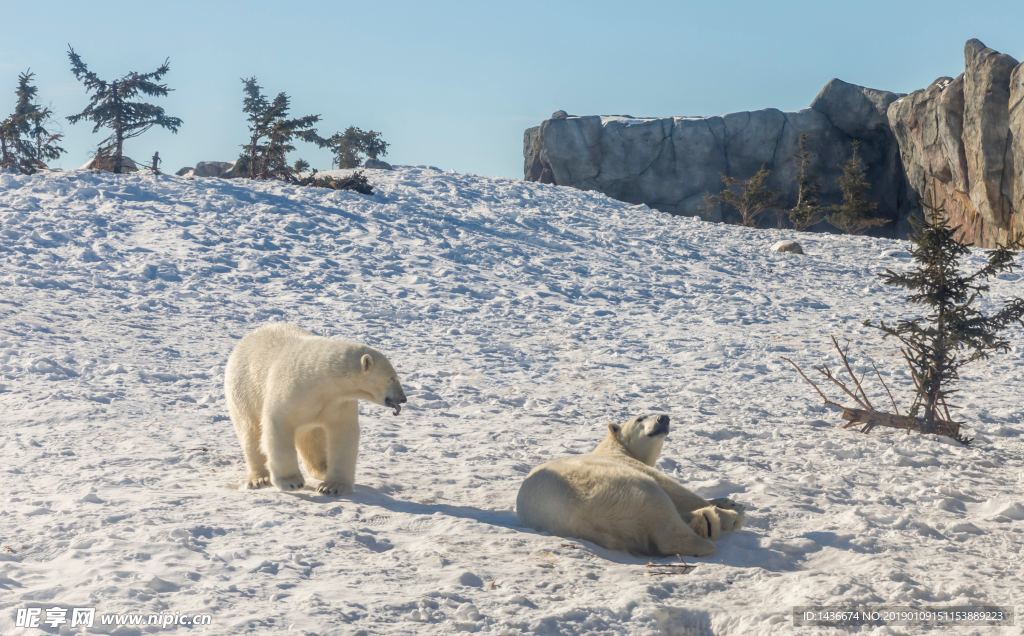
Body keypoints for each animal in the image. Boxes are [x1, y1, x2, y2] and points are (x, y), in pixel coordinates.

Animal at [226, 325, 405, 493]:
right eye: (392, 378)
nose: (403, 398)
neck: (320, 380)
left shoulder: (338, 402)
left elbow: (343, 433)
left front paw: (333, 486)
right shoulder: (291, 391)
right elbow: (278, 425)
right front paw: (291, 482)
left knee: (311, 438)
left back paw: (322, 469)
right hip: (244, 391)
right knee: (251, 433)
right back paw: (259, 478)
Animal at [520, 413, 745, 553]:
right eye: (639, 418)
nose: (663, 418)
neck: (614, 447)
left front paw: (727, 501)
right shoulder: (629, 465)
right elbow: (676, 490)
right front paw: (732, 508)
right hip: (621, 488)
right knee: (664, 516)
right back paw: (716, 524)